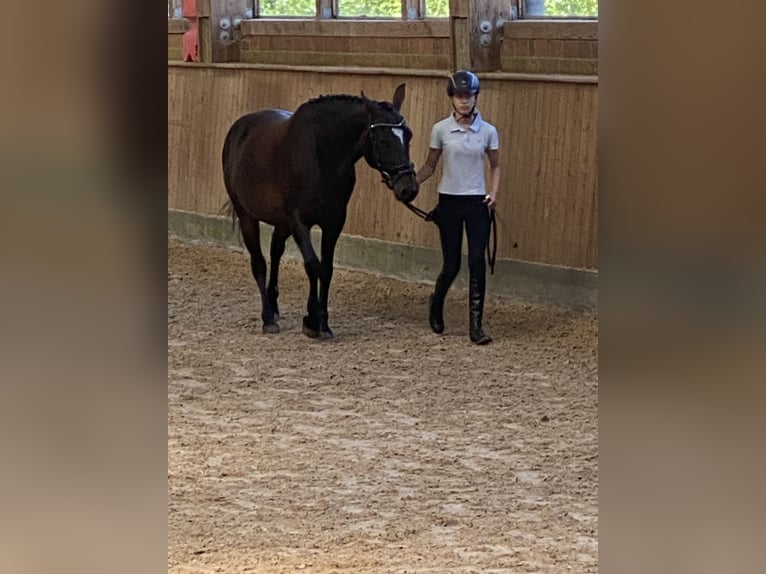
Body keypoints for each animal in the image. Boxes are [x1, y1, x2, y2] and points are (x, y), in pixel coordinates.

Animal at [222, 83, 420, 340]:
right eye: (383, 139)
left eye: (409, 135)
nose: (409, 189)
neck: (321, 156)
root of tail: (239, 127)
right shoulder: (299, 221)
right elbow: (312, 265)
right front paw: (311, 319)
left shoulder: (333, 222)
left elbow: (325, 269)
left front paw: (322, 323)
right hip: (247, 216)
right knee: (259, 263)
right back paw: (267, 318)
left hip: (281, 223)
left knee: (275, 252)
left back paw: (274, 307)